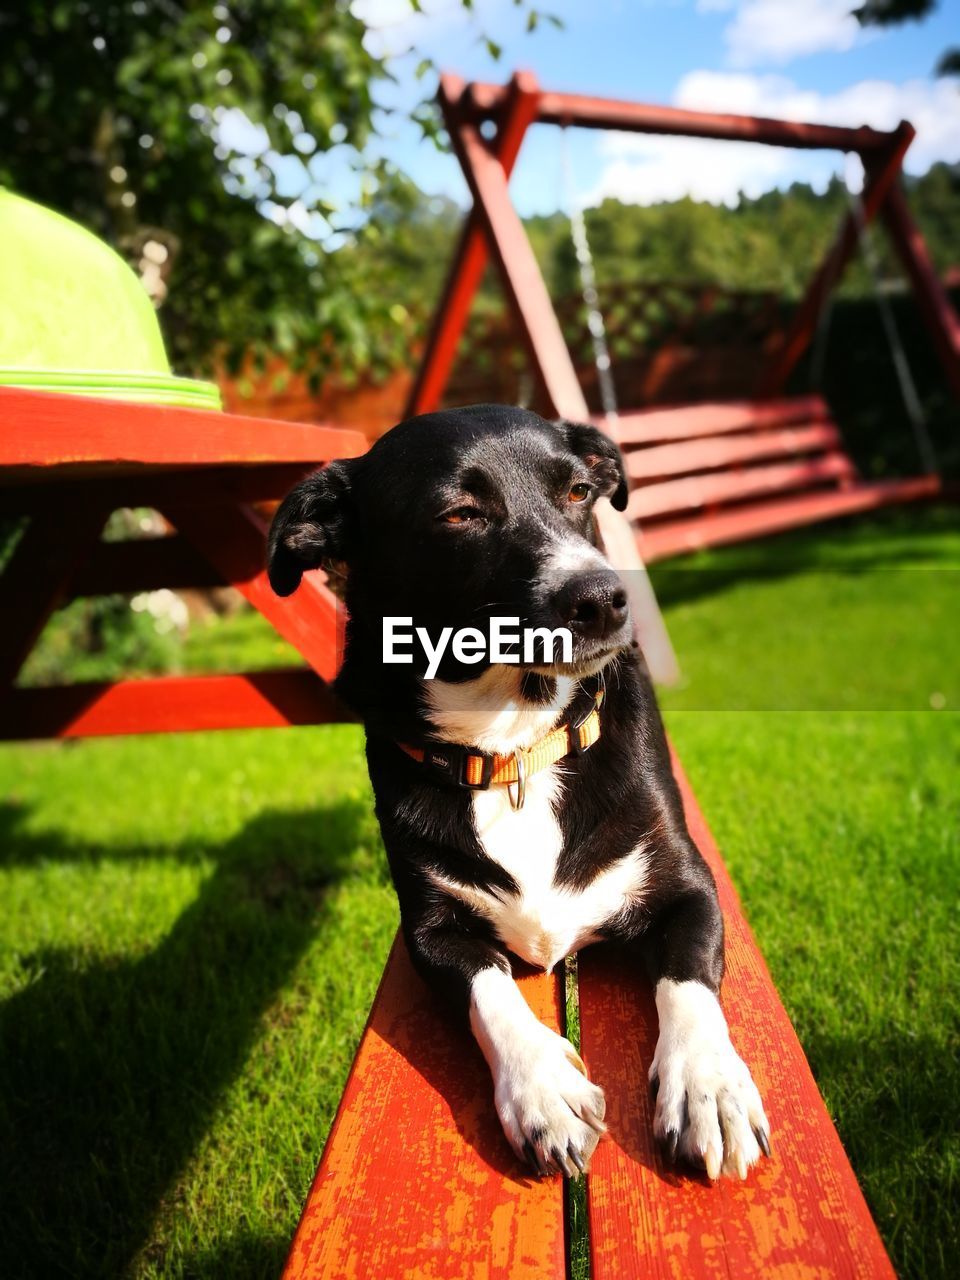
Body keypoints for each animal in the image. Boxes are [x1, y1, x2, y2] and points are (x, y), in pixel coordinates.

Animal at [267, 404, 773, 1182]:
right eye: (460, 513)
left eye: (578, 492)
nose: (606, 599)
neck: (514, 748)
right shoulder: (430, 931)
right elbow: (489, 988)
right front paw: (541, 1085)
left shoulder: (687, 886)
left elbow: (688, 983)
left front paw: (707, 1085)